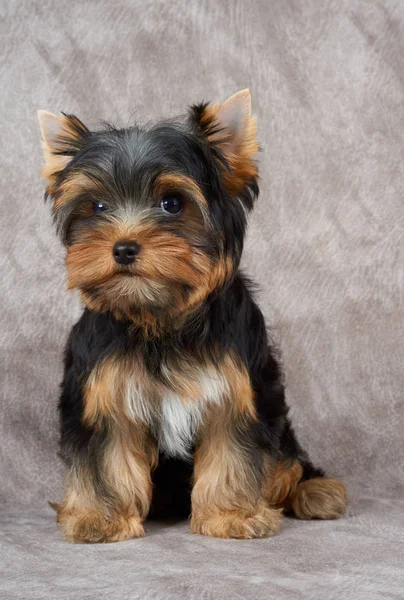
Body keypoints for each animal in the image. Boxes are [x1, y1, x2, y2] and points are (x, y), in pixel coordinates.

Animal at [38, 90, 348, 544]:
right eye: (96, 206)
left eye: (172, 203)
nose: (123, 248)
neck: (161, 315)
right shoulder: (103, 391)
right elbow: (105, 454)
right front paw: (100, 517)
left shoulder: (234, 391)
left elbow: (232, 450)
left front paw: (231, 514)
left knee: (287, 462)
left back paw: (315, 491)